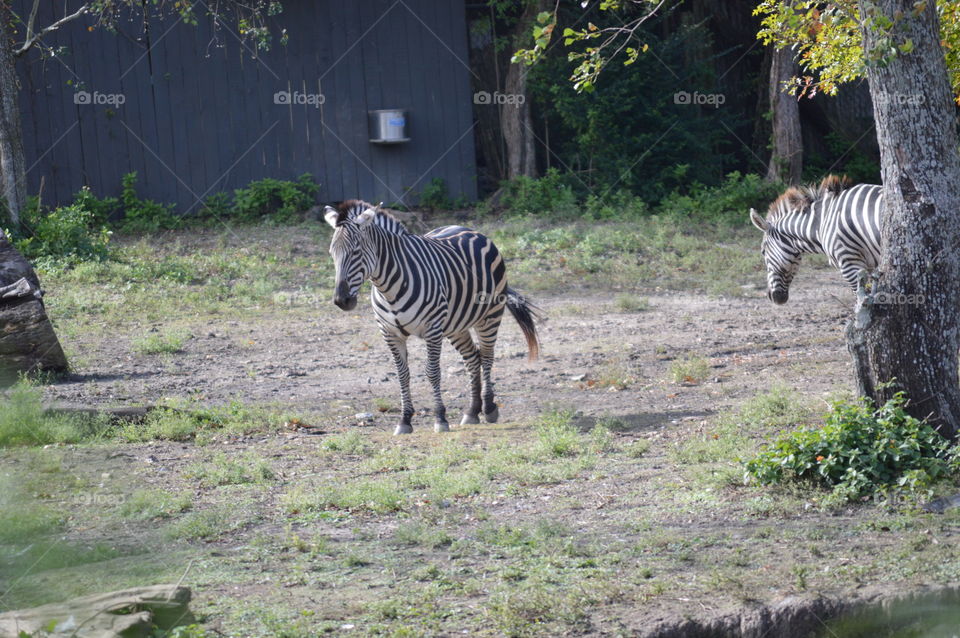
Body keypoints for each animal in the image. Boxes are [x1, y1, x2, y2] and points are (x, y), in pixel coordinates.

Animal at [323, 200, 542, 435]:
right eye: (332, 253)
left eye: (356, 251)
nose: (342, 300)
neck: (388, 288)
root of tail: (471, 230)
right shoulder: (390, 333)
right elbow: (402, 374)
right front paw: (405, 420)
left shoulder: (433, 328)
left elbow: (432, 372)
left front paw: (440, 418)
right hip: (456, 325)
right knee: (472, 358)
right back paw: (472, 411)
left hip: (489, 316)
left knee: (486, 355)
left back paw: (489, 407)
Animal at [749, 175, 882, 304]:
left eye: (763, 252)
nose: (772, 298)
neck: (822, 222)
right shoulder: (870, 266)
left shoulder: (850, 263)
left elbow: (861, 301)